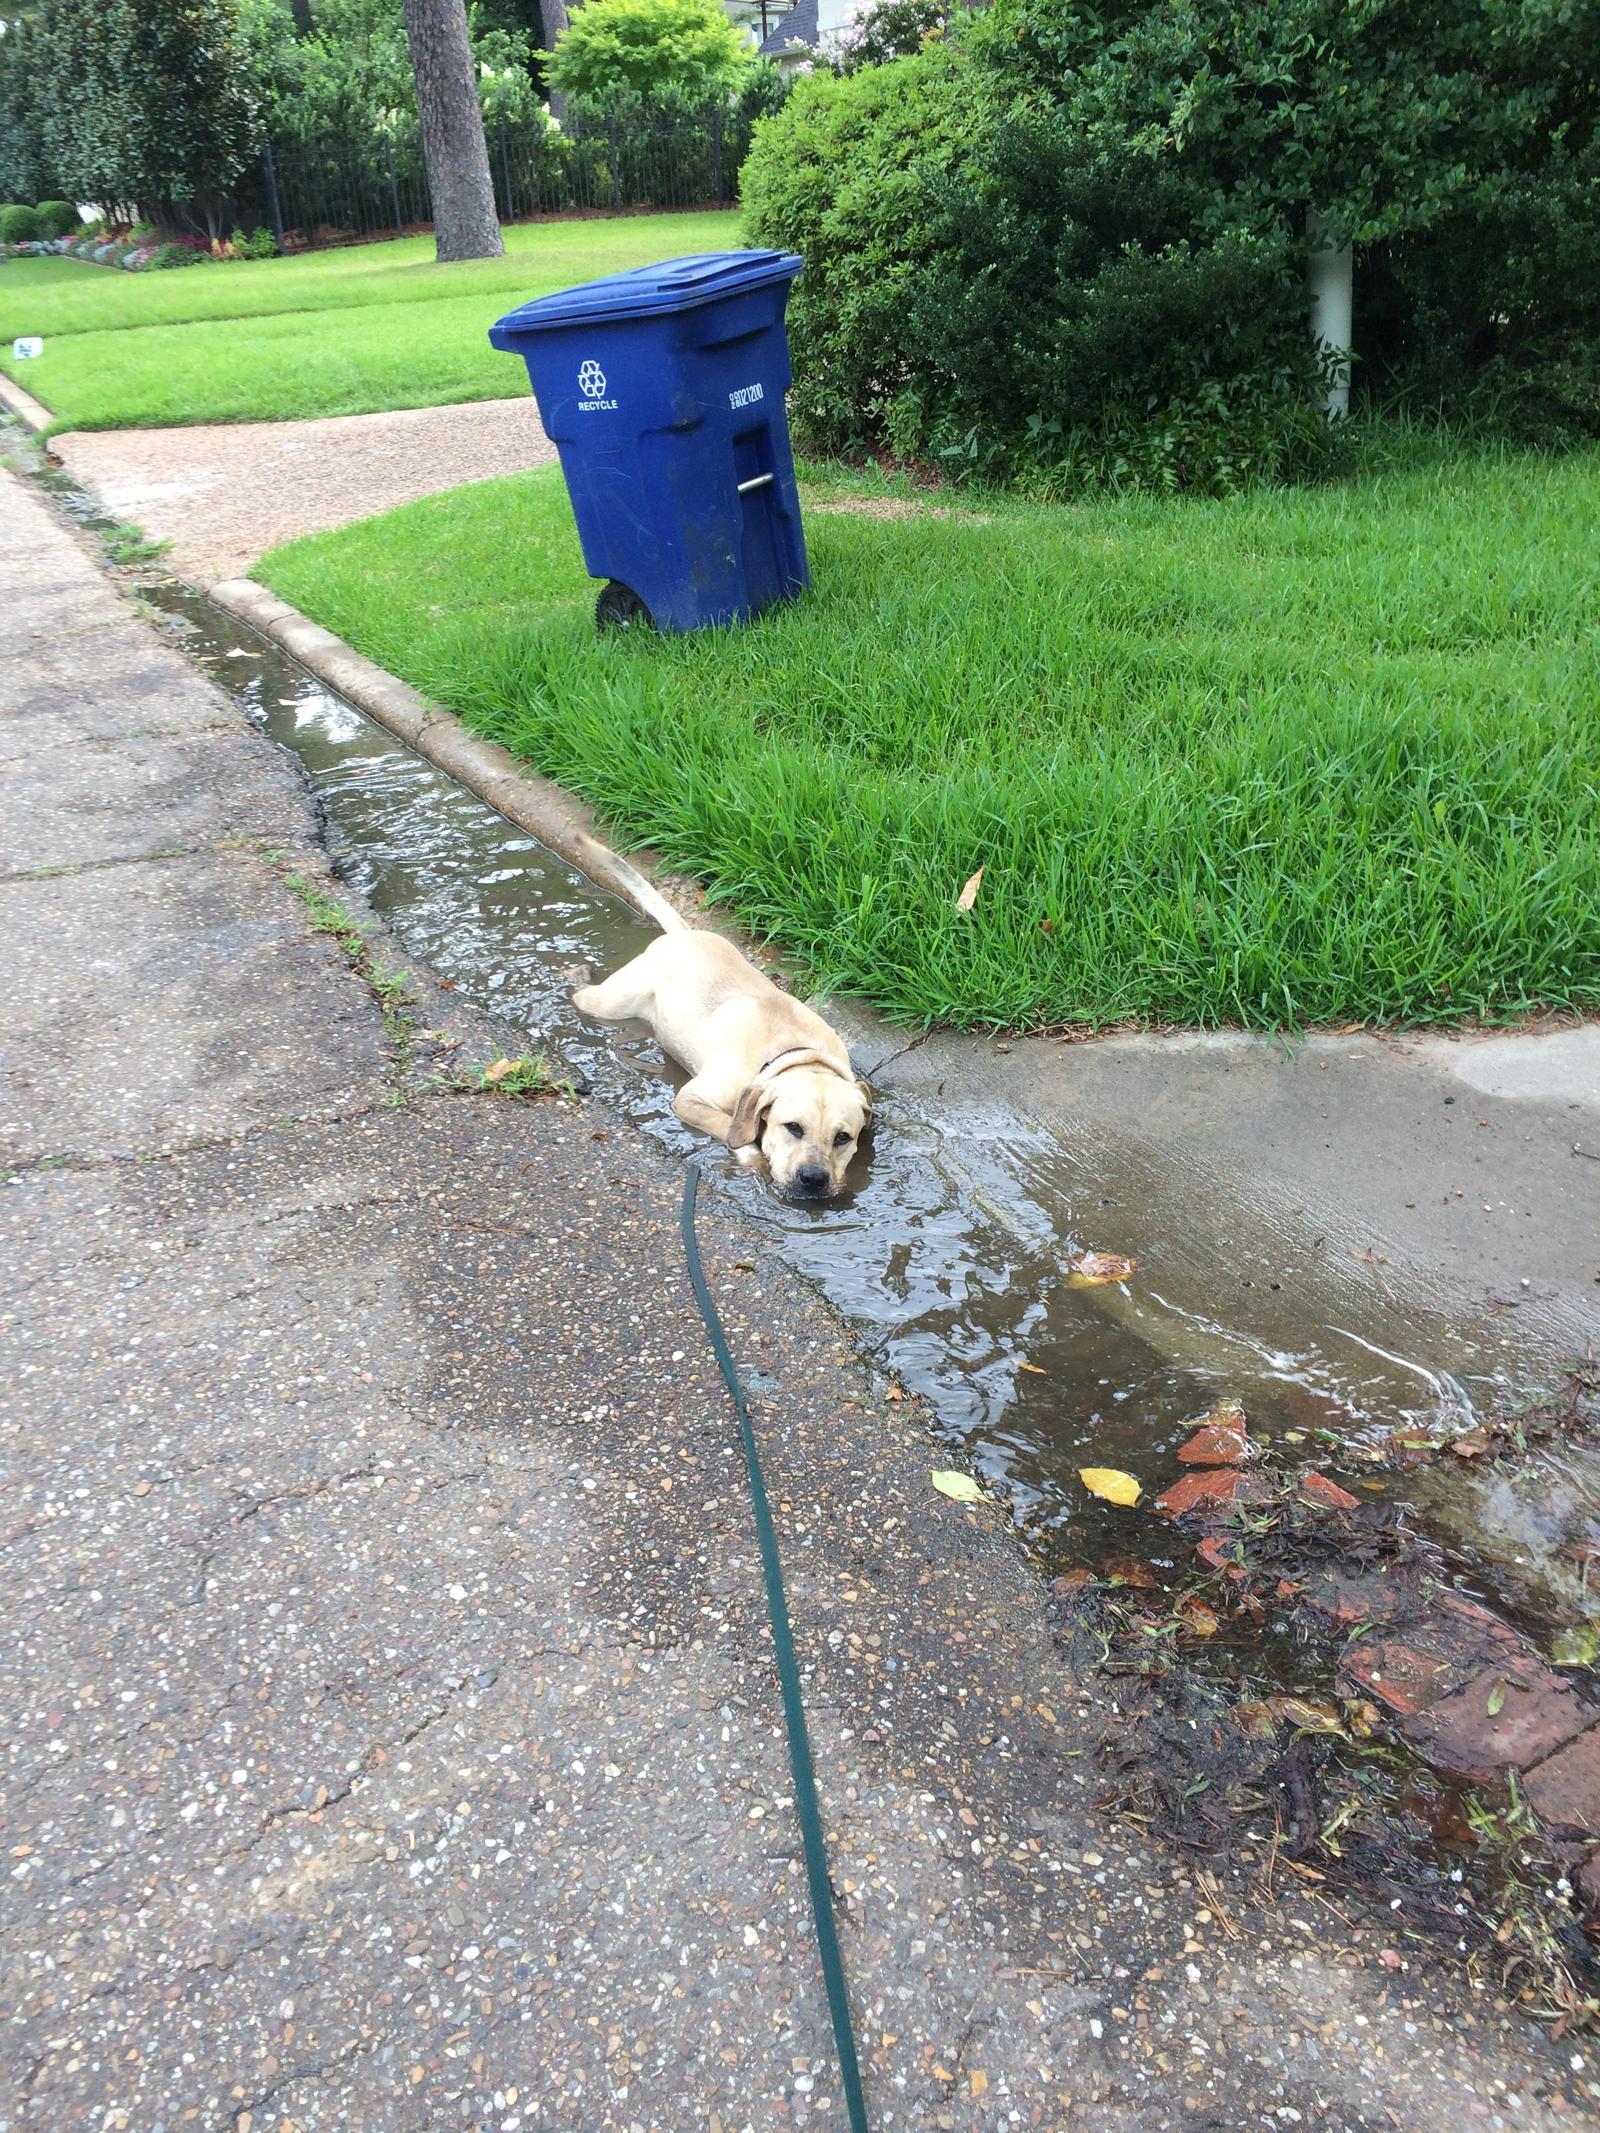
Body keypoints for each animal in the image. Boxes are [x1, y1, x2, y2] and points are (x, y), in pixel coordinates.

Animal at [563, 887, 866, 1203]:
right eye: (793, 1127)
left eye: (842, 1137)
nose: (814, 1178)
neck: (796, 1055)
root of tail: (684, 934)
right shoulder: (690, 1100)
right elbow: (729, 1126)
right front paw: (750, 1154)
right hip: (612, 1002)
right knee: (581, 995)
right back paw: (577, 974)